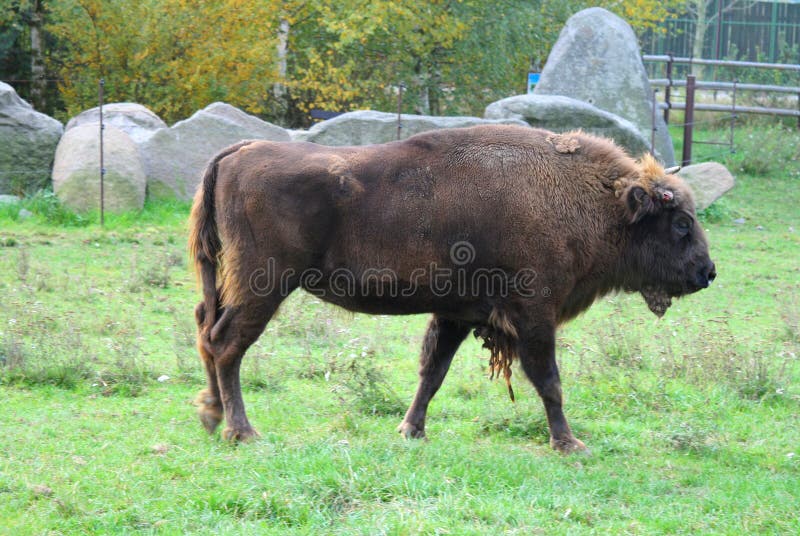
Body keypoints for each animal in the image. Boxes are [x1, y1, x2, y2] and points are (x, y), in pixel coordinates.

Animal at [189, 125, 715, 453]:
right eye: (681, 223)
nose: (707, 273)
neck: (594, 200)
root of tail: (240, 151)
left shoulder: (458, 314)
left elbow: (432, 372)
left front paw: (410, 430)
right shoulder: (533, 315)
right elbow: (549, 380)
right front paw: (570, 444)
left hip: (234, 283)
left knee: (206, 329)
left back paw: (212, 417)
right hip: (265, 285)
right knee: (227, 344)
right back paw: (241, 431)